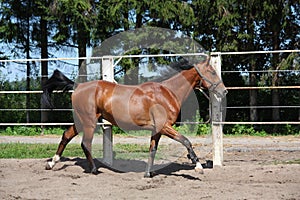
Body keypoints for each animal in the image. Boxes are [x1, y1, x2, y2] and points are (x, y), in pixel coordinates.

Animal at [41, 57, 225, 177]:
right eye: (211, 72)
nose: (224, 91)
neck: (167, 93)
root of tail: (78, 86)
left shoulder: (157, 130)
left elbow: (152, 149)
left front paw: (148, 174)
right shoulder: (165, 126)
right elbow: (186, 141)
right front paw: (198, 166)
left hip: (81, 120)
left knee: (66, 136)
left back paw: (51, 163)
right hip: (89, 122)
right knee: (85, 143)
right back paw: (93, 170)